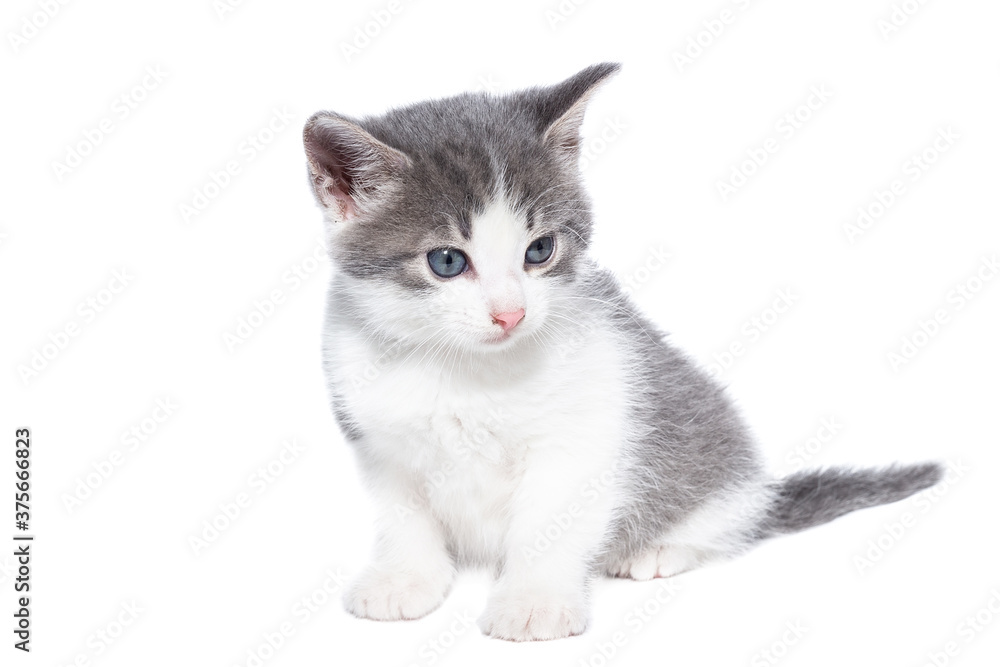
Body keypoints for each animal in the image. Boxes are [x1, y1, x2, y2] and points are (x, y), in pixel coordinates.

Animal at [300, 65, 940, 644]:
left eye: (540, 250)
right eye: (447, 261)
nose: (512, 314)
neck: (464, 369)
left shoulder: (586, 433)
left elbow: (551, 524)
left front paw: (534, 601)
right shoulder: (376, 437)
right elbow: (403, 516)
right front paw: (404, 580)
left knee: (723, 522)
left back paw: (657, 549)